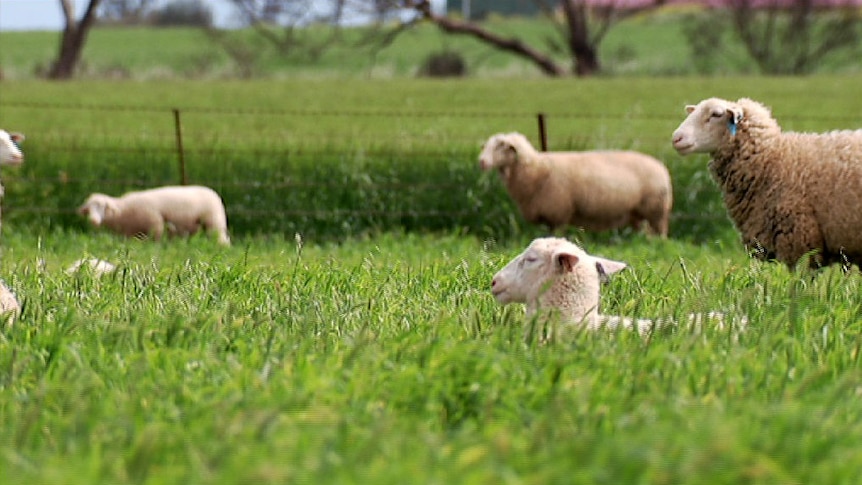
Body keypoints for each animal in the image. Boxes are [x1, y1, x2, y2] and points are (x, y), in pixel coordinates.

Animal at [78, 185, 231, 246]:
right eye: (88, 210)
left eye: (102, 207)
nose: (93, 221)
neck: (123, 209)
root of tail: (212, 192)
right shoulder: (130, 233)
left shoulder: (155, 223)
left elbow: (155, 240)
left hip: (214, 221)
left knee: (221, 239)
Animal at [480, 131, 676, 237]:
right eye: (486, 146)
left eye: (501, 147)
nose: (481, 161)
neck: (536, 170)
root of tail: (661, 166)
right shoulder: (550, 217)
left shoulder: (558, 214)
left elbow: (557, 235)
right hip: (638, 213)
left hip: (656, 209)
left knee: (660, 233)